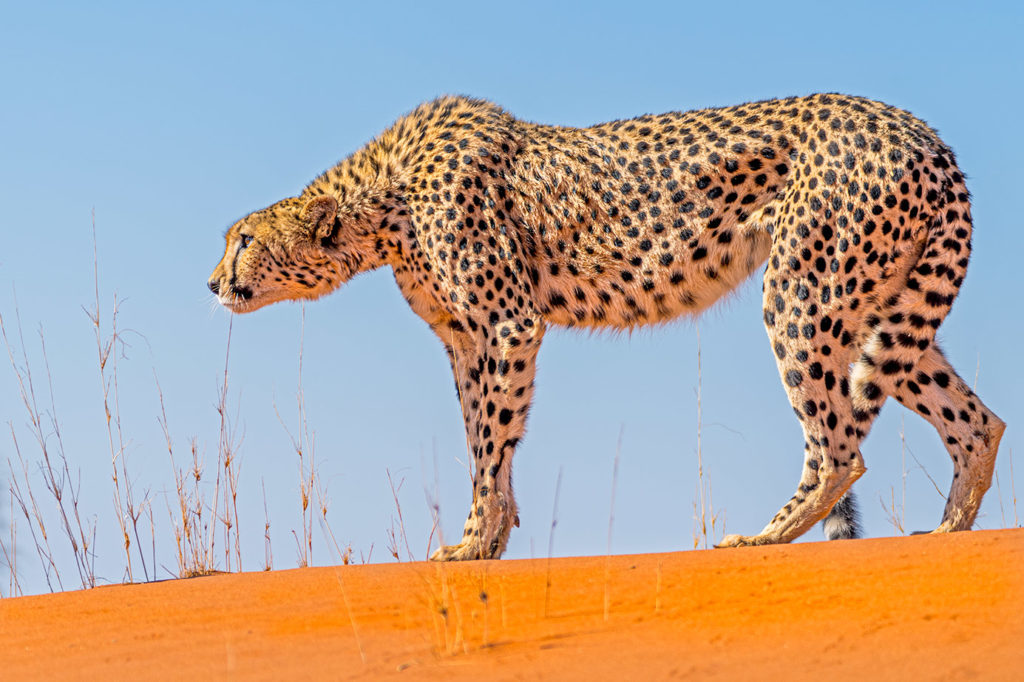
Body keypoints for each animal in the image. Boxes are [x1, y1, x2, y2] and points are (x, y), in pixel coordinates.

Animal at [207, 94, 1007, 557]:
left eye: (242, 240)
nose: (212, 284)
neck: (386, 204)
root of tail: (922, 133)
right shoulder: (466, 341)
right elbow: (482, 438)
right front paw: (492, 536)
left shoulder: (508, 324)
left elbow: (491, 441)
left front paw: (469, 544)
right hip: (879, 307)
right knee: (977, 420)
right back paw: (947, 534)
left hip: (802, 293)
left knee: (841, 448)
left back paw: (765, 535)